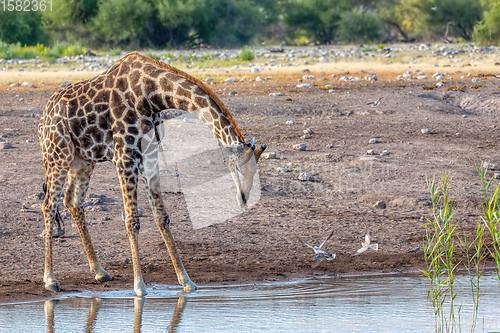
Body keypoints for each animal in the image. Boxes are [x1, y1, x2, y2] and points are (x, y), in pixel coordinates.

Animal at [39, 50, 268, 294]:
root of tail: (42, 120)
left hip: (82, 160)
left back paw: (99, 271)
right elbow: (132, 220)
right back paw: (50, 279)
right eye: (238, 166)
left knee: (72, 201)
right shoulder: (125, 156)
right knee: (49, 205)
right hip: (57, 155)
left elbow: (162, 217)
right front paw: (139, 286)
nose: (243, 199)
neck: (151, 94)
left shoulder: (150, 154)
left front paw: (186, 281)